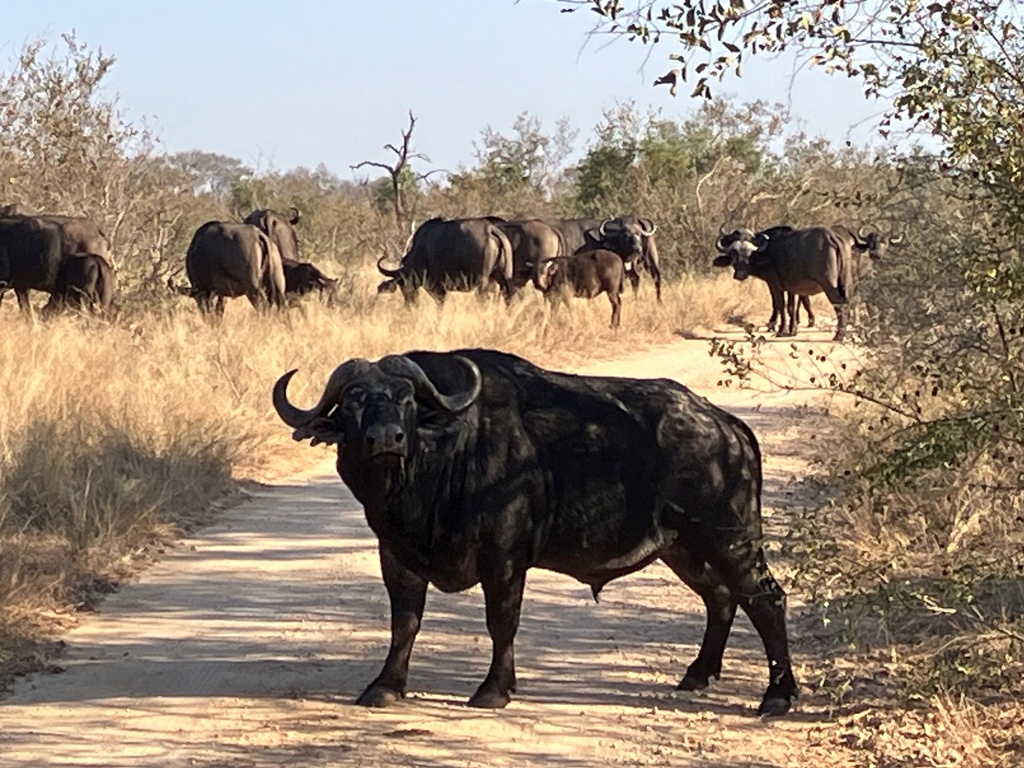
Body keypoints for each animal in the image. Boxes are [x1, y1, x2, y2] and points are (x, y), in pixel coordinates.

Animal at [273, 348, 797, 717]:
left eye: (406, 401)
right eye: (354, 401)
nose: (387, 439)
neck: (442, 460)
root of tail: (726, 426)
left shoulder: (504, 561)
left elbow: (501, 623)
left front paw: (493, 689)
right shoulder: (396, 556)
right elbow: (405, 623)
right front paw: (385, 685)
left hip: (729, 537)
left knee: (765, 599)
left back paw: (777, 695)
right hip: (683, 548)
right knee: (721, 598)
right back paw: (698, 674)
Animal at [376, 217, 515, 303]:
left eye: (403, 283)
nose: (409, 303)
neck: (422, 250)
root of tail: (490, 230)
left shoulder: (438, 289)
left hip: (483, 281)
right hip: (502, 279)